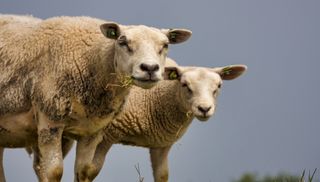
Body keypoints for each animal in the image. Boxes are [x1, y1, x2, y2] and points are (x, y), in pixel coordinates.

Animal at [0, 15, 192, 182]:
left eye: (165, 45)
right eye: (122, 42)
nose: (150, 68)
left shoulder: (92, 130)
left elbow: (83, 171)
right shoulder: (50, 119)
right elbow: (54, 172)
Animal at [75, 59, 248, 181]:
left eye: (219, 86)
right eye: (185, 85)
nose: (204, 109)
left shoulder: (162, 144)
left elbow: (162, 176)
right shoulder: (107, 136)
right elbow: (89, 171)